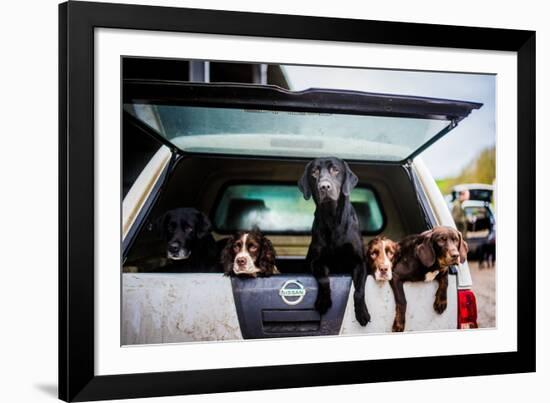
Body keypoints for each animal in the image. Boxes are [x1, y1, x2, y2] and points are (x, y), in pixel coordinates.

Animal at [298, 156, 370, 326]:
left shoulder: (360, 262)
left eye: (335, 170)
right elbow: (324, 279)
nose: (324, 186)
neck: (332, 218)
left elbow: (359, 290)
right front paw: (323, 302)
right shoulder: (316, 261)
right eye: (314, 172)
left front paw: (362, 313)